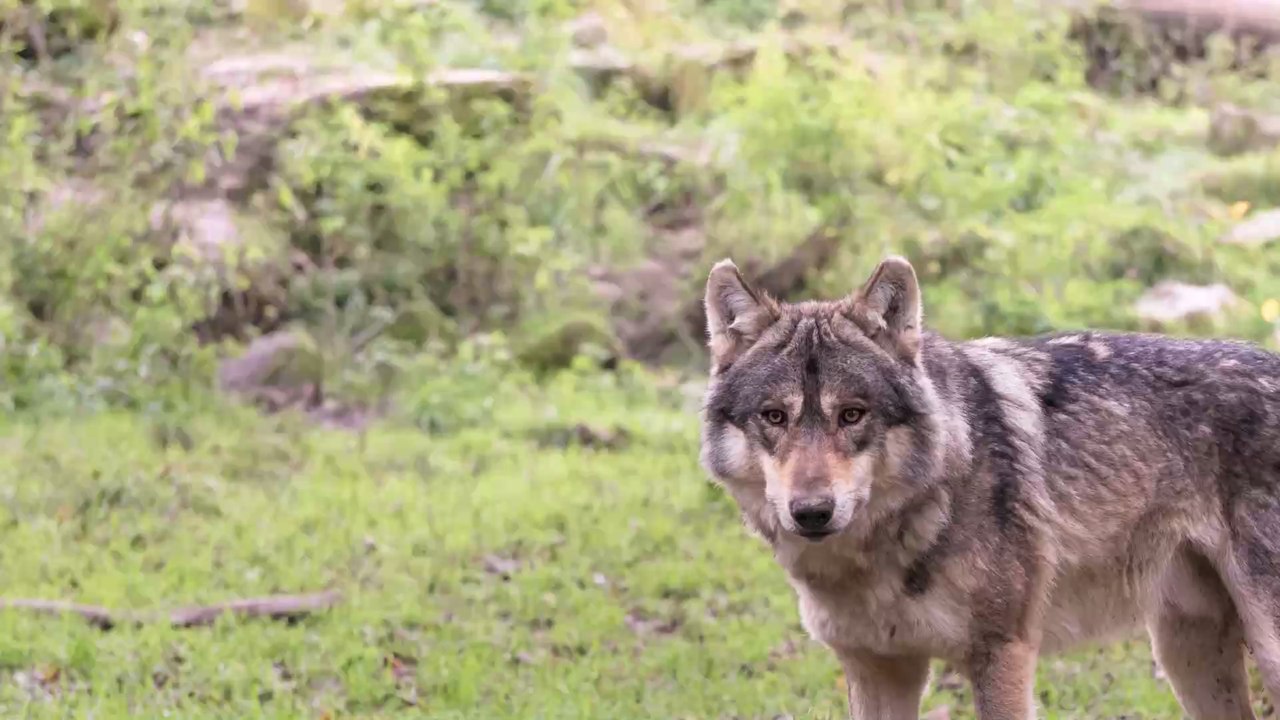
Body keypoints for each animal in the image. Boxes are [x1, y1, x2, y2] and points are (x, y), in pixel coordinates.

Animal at [698, 255, 1280, 719]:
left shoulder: (1003, 653)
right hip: (1186, 651)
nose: (812, 512)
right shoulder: (877, 667)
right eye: (774, 416)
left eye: (852, 415)